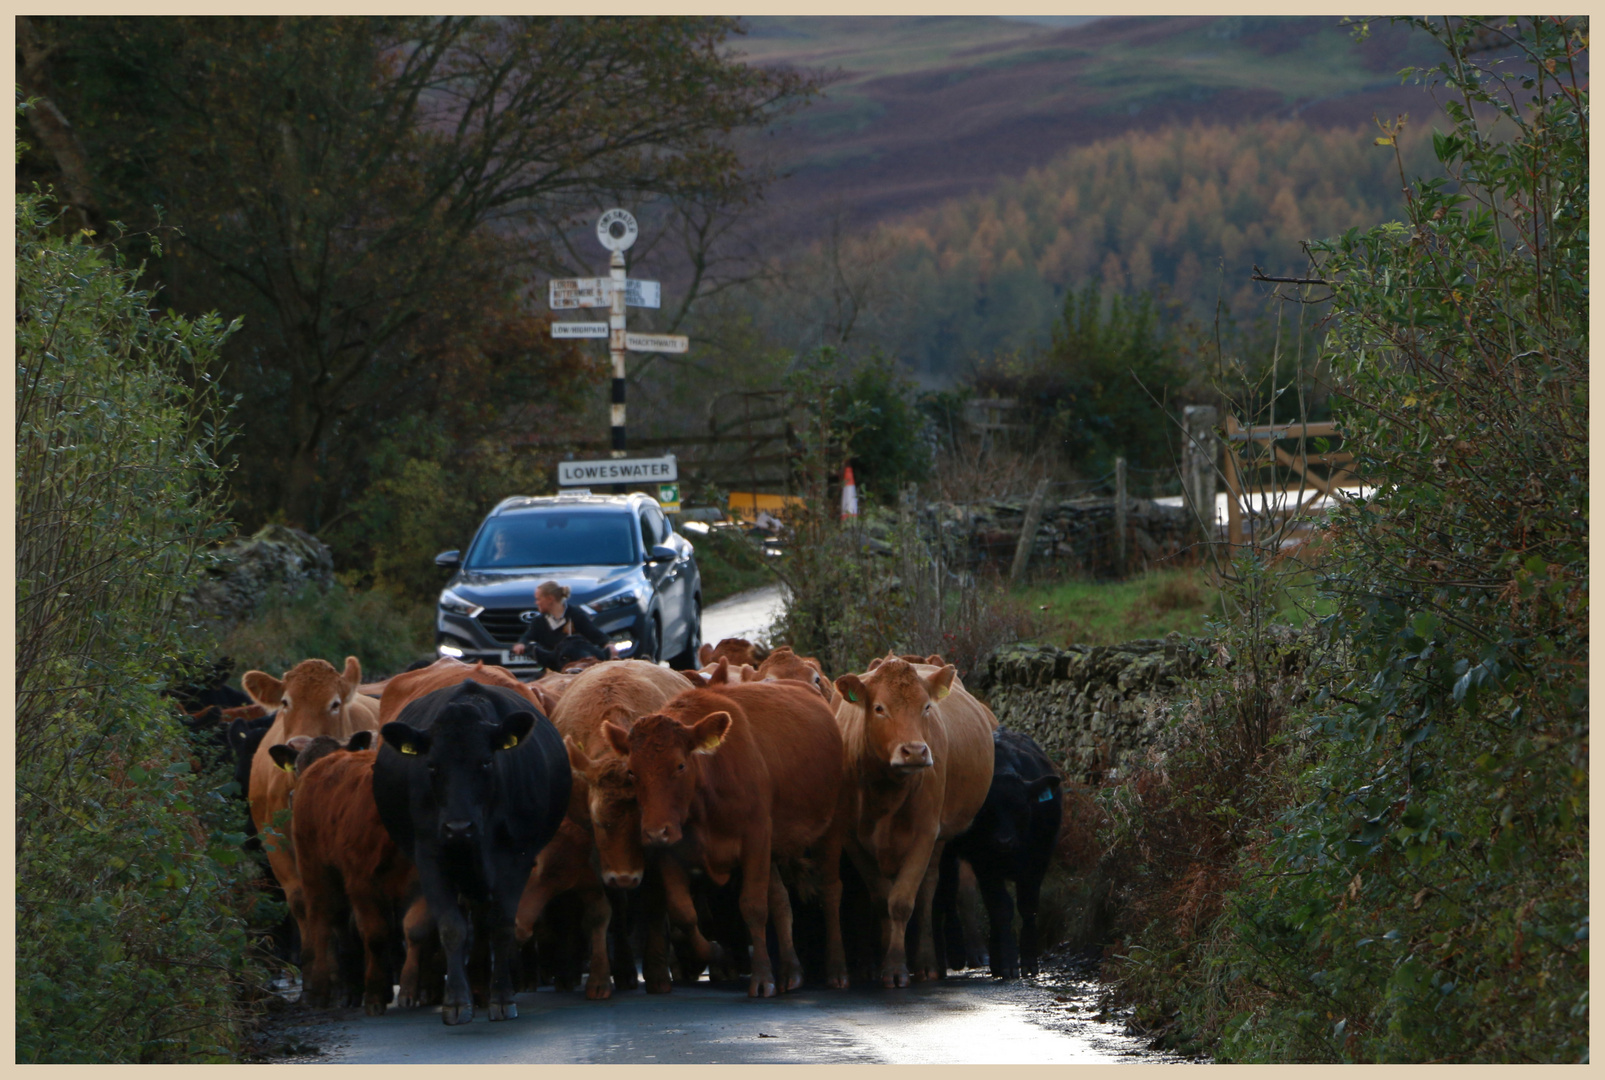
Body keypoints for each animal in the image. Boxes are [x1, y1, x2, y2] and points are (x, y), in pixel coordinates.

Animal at [372, 677, 574, 1020]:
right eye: (432, 766)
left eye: (486, 761)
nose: (458, 828)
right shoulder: (430, 855)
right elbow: (452, 927)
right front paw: (456, 1000)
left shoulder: (516, 858)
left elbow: (502, 925)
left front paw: (502, 997)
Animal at [603, 677, 847, 1001]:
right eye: (632, 771)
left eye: (680, 765)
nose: (654, 832)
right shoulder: (670, 851)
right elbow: (683, 913)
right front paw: (719, 955)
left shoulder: (756, 838)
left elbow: (753, 906)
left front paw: (762, 978)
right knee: (781, 900)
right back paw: (790, 970)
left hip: (831, 827)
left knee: (830, 891)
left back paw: (836, 970)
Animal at [834, 657, 995, 988]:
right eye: (879, 708)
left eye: (926, 707)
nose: (916, 751)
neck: (886, 792)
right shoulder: (852, 839)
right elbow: (882, 899)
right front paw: (886, 962)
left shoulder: (924, 834)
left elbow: (902, 902)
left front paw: (897, 966)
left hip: (939, 838)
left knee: (926, 892)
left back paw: (927, 963)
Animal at [937, 725, 1059, 975]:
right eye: (986, 811)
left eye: (1022, 807)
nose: (1004, 841)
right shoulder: (985, 865)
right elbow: (1002, 908)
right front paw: (1010, 963)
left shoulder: (1038, 861)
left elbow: (1027, 906)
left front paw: (1028, 960)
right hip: (947, 853)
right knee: (949, 894)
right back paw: (957, 954)